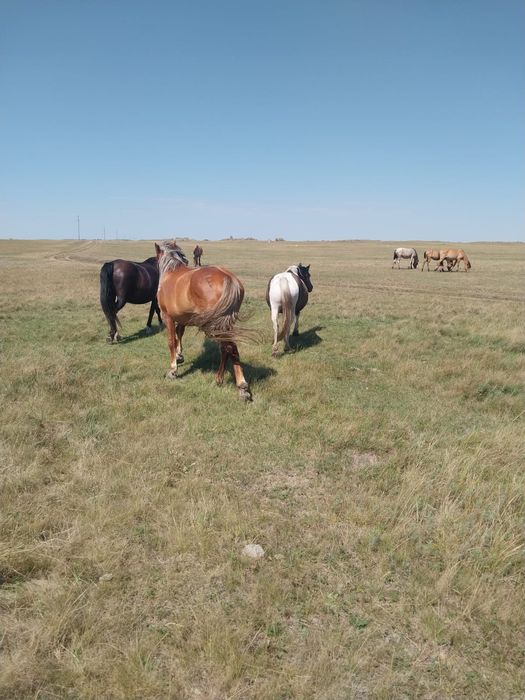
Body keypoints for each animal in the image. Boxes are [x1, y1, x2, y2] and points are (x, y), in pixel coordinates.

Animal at [155, 240, 252, 400]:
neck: (171, 272)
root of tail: (228, 278)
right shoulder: (182, 318)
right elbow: (179, 334)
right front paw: (179, 356)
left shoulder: (167, 317)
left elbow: (171, 341)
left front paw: (173, 369)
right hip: (225, 324)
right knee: (228, 349)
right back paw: (228, 382)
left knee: (229, 348)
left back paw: (237, 384)